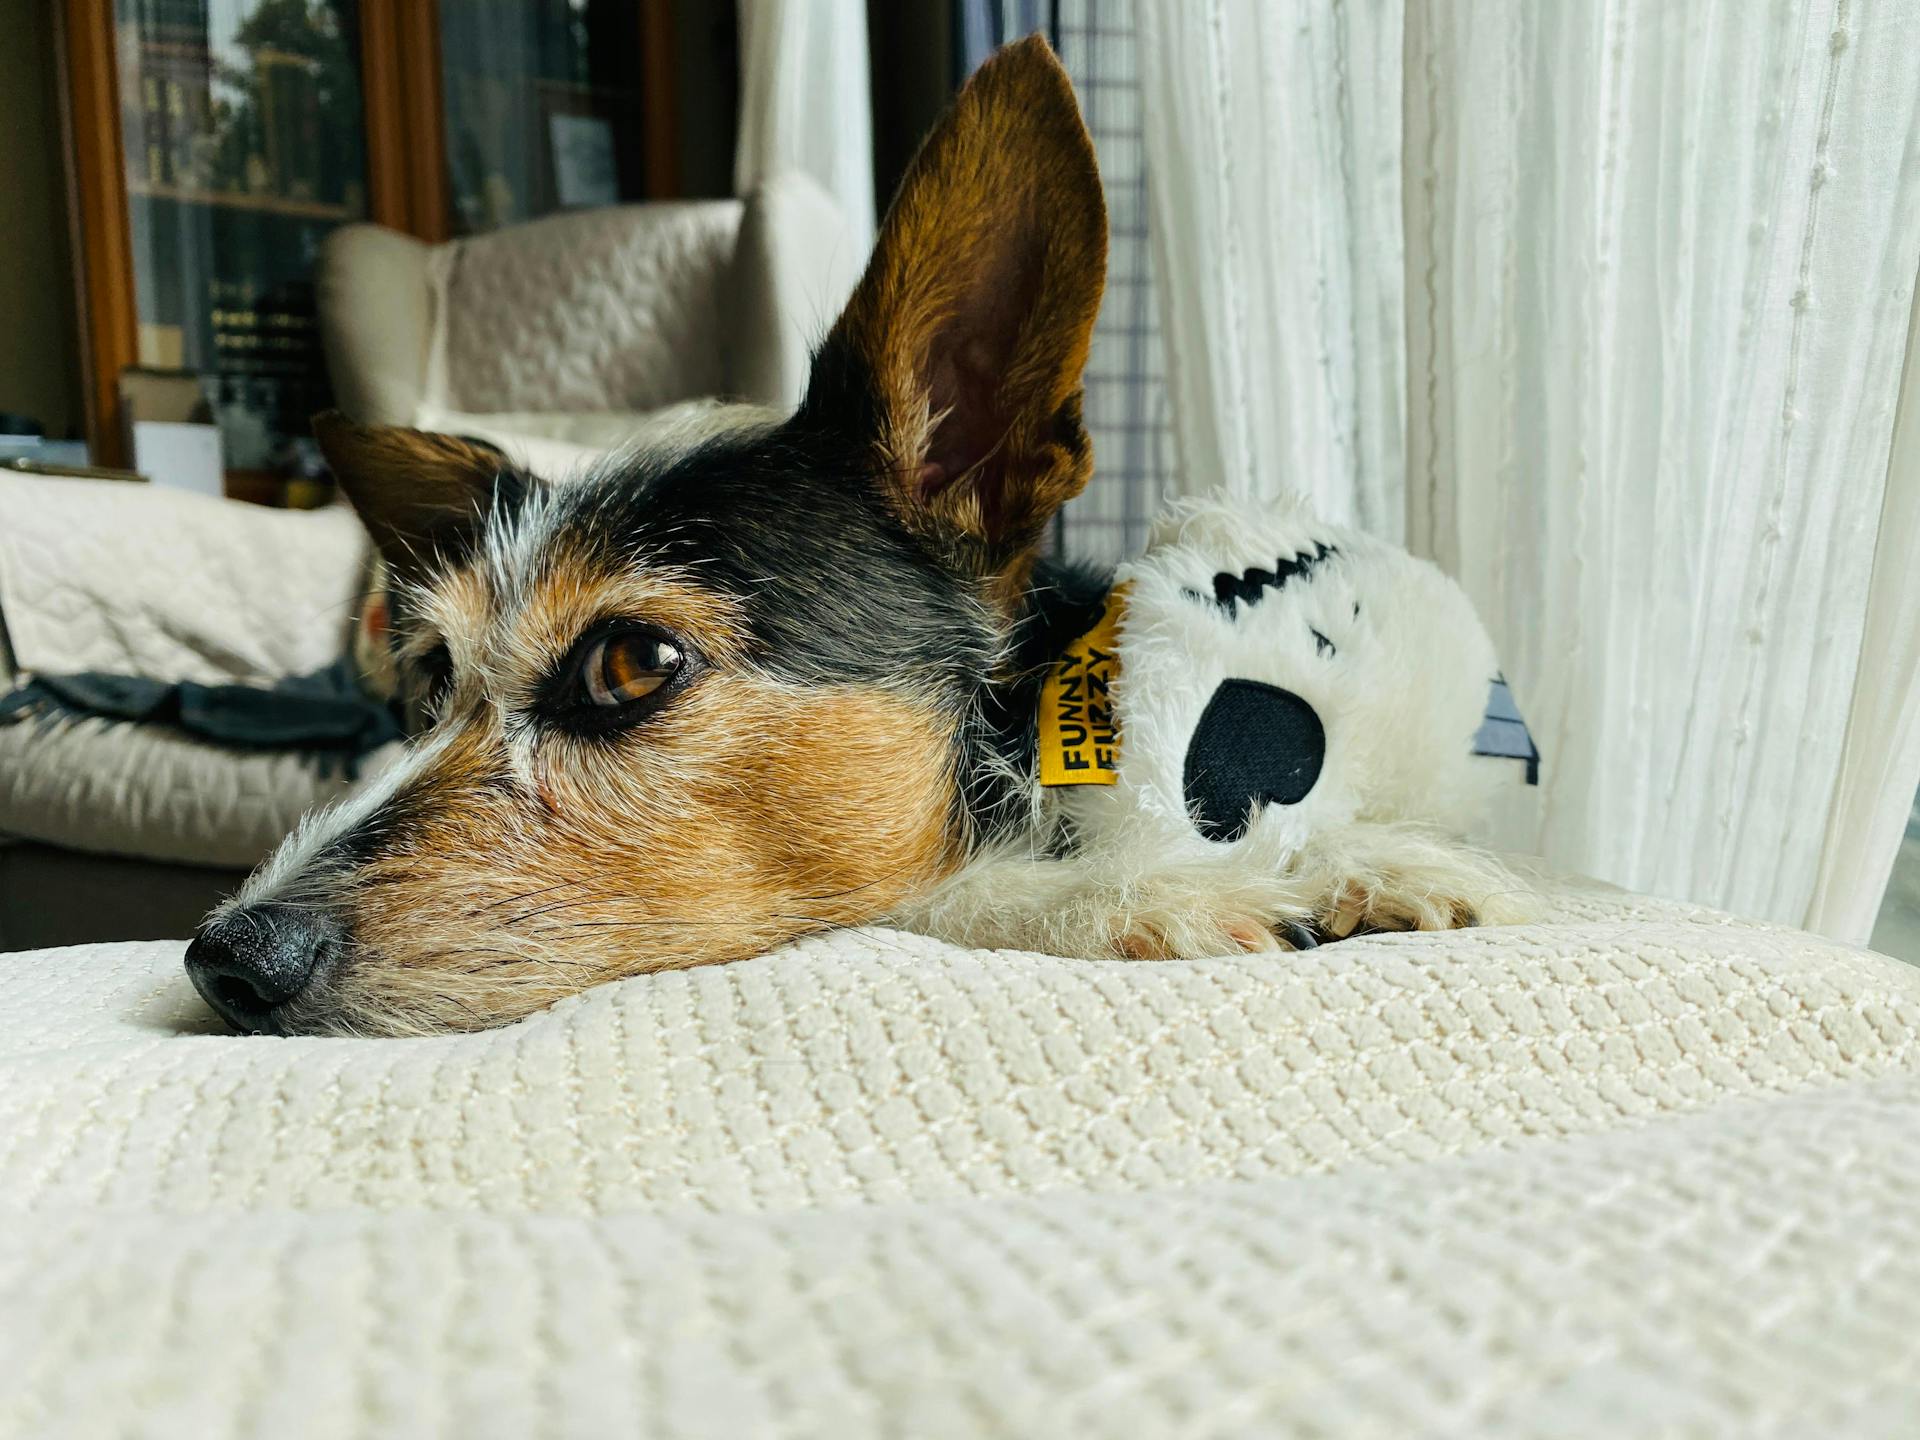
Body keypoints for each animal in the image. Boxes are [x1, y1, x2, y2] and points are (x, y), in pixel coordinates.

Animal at [183, 33, 1528, 1036]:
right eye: (427, 682)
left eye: (631, 664)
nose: (226, 958)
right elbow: (930, 894)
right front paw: (1135, 893)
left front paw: (1369, 863)